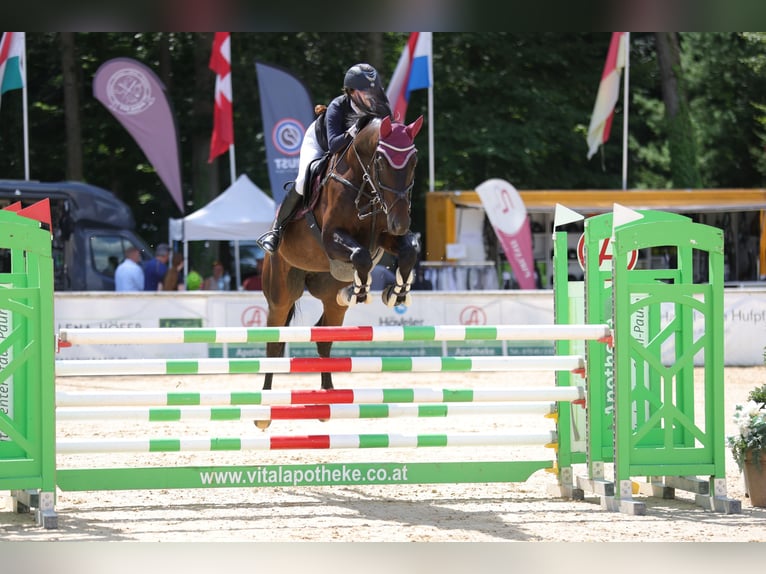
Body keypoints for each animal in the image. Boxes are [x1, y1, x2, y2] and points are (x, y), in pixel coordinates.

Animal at [260, 115, 424, 418]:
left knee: (324, 336)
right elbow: (360, 255)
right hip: (281, 294)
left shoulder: (384, 235)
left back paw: (328, 394)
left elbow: (408, 251)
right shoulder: (331, 238)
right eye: (381, 161)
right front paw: (362, 289)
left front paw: (396, 292)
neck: (364, 186)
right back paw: (265, 404)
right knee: (274, 343)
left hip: (330, 298)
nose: (401, 223)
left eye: (414, 160)